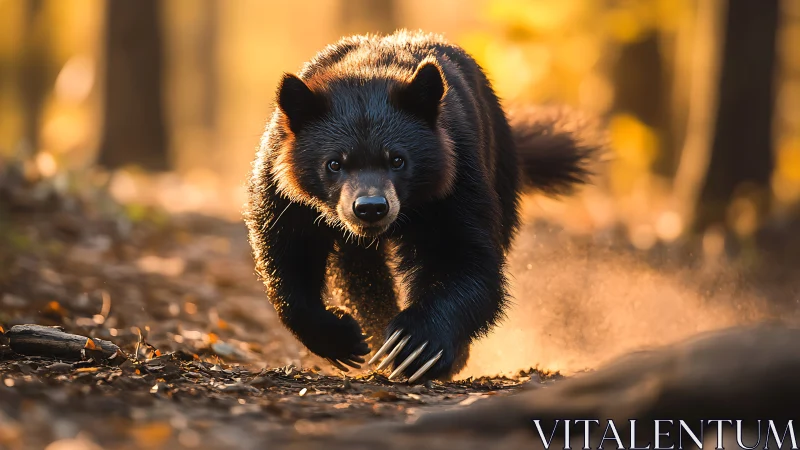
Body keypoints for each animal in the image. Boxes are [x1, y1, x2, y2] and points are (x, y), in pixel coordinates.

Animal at [245, 30, 599, 383]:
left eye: (398, 159)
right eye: (334, 163)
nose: (371, 208)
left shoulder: (457, 178)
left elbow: (462, 256)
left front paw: (414, 347)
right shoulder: (284, 188)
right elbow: (286, 251)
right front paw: (344, 339)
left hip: (500, 165)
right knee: (358, 270)